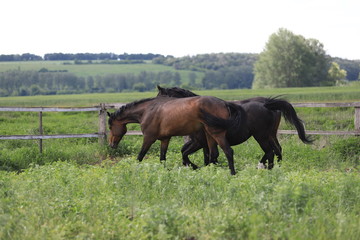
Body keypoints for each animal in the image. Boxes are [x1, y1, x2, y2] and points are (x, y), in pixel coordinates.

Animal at [107, 95, 245, 174]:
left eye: (110, 126)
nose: (111, 145)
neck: (148, 110)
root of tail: (224, 103)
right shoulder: (165, 139)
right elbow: (162, 158)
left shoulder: (148, 138)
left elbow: (140, 156)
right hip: (209, 134)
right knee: (214, 154)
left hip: (216, 133)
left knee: (228, 151)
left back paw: (232, 173)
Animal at [157, 86, 312, 169]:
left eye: (160, 96)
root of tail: (268, 103)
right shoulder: (202, 142)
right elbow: (197, 154)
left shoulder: (199, 142)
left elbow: (188, 153)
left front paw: (196, 166)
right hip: (270, 134)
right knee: (277, 150)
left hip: (261, 136)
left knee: (270, 151)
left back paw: (264, 167)